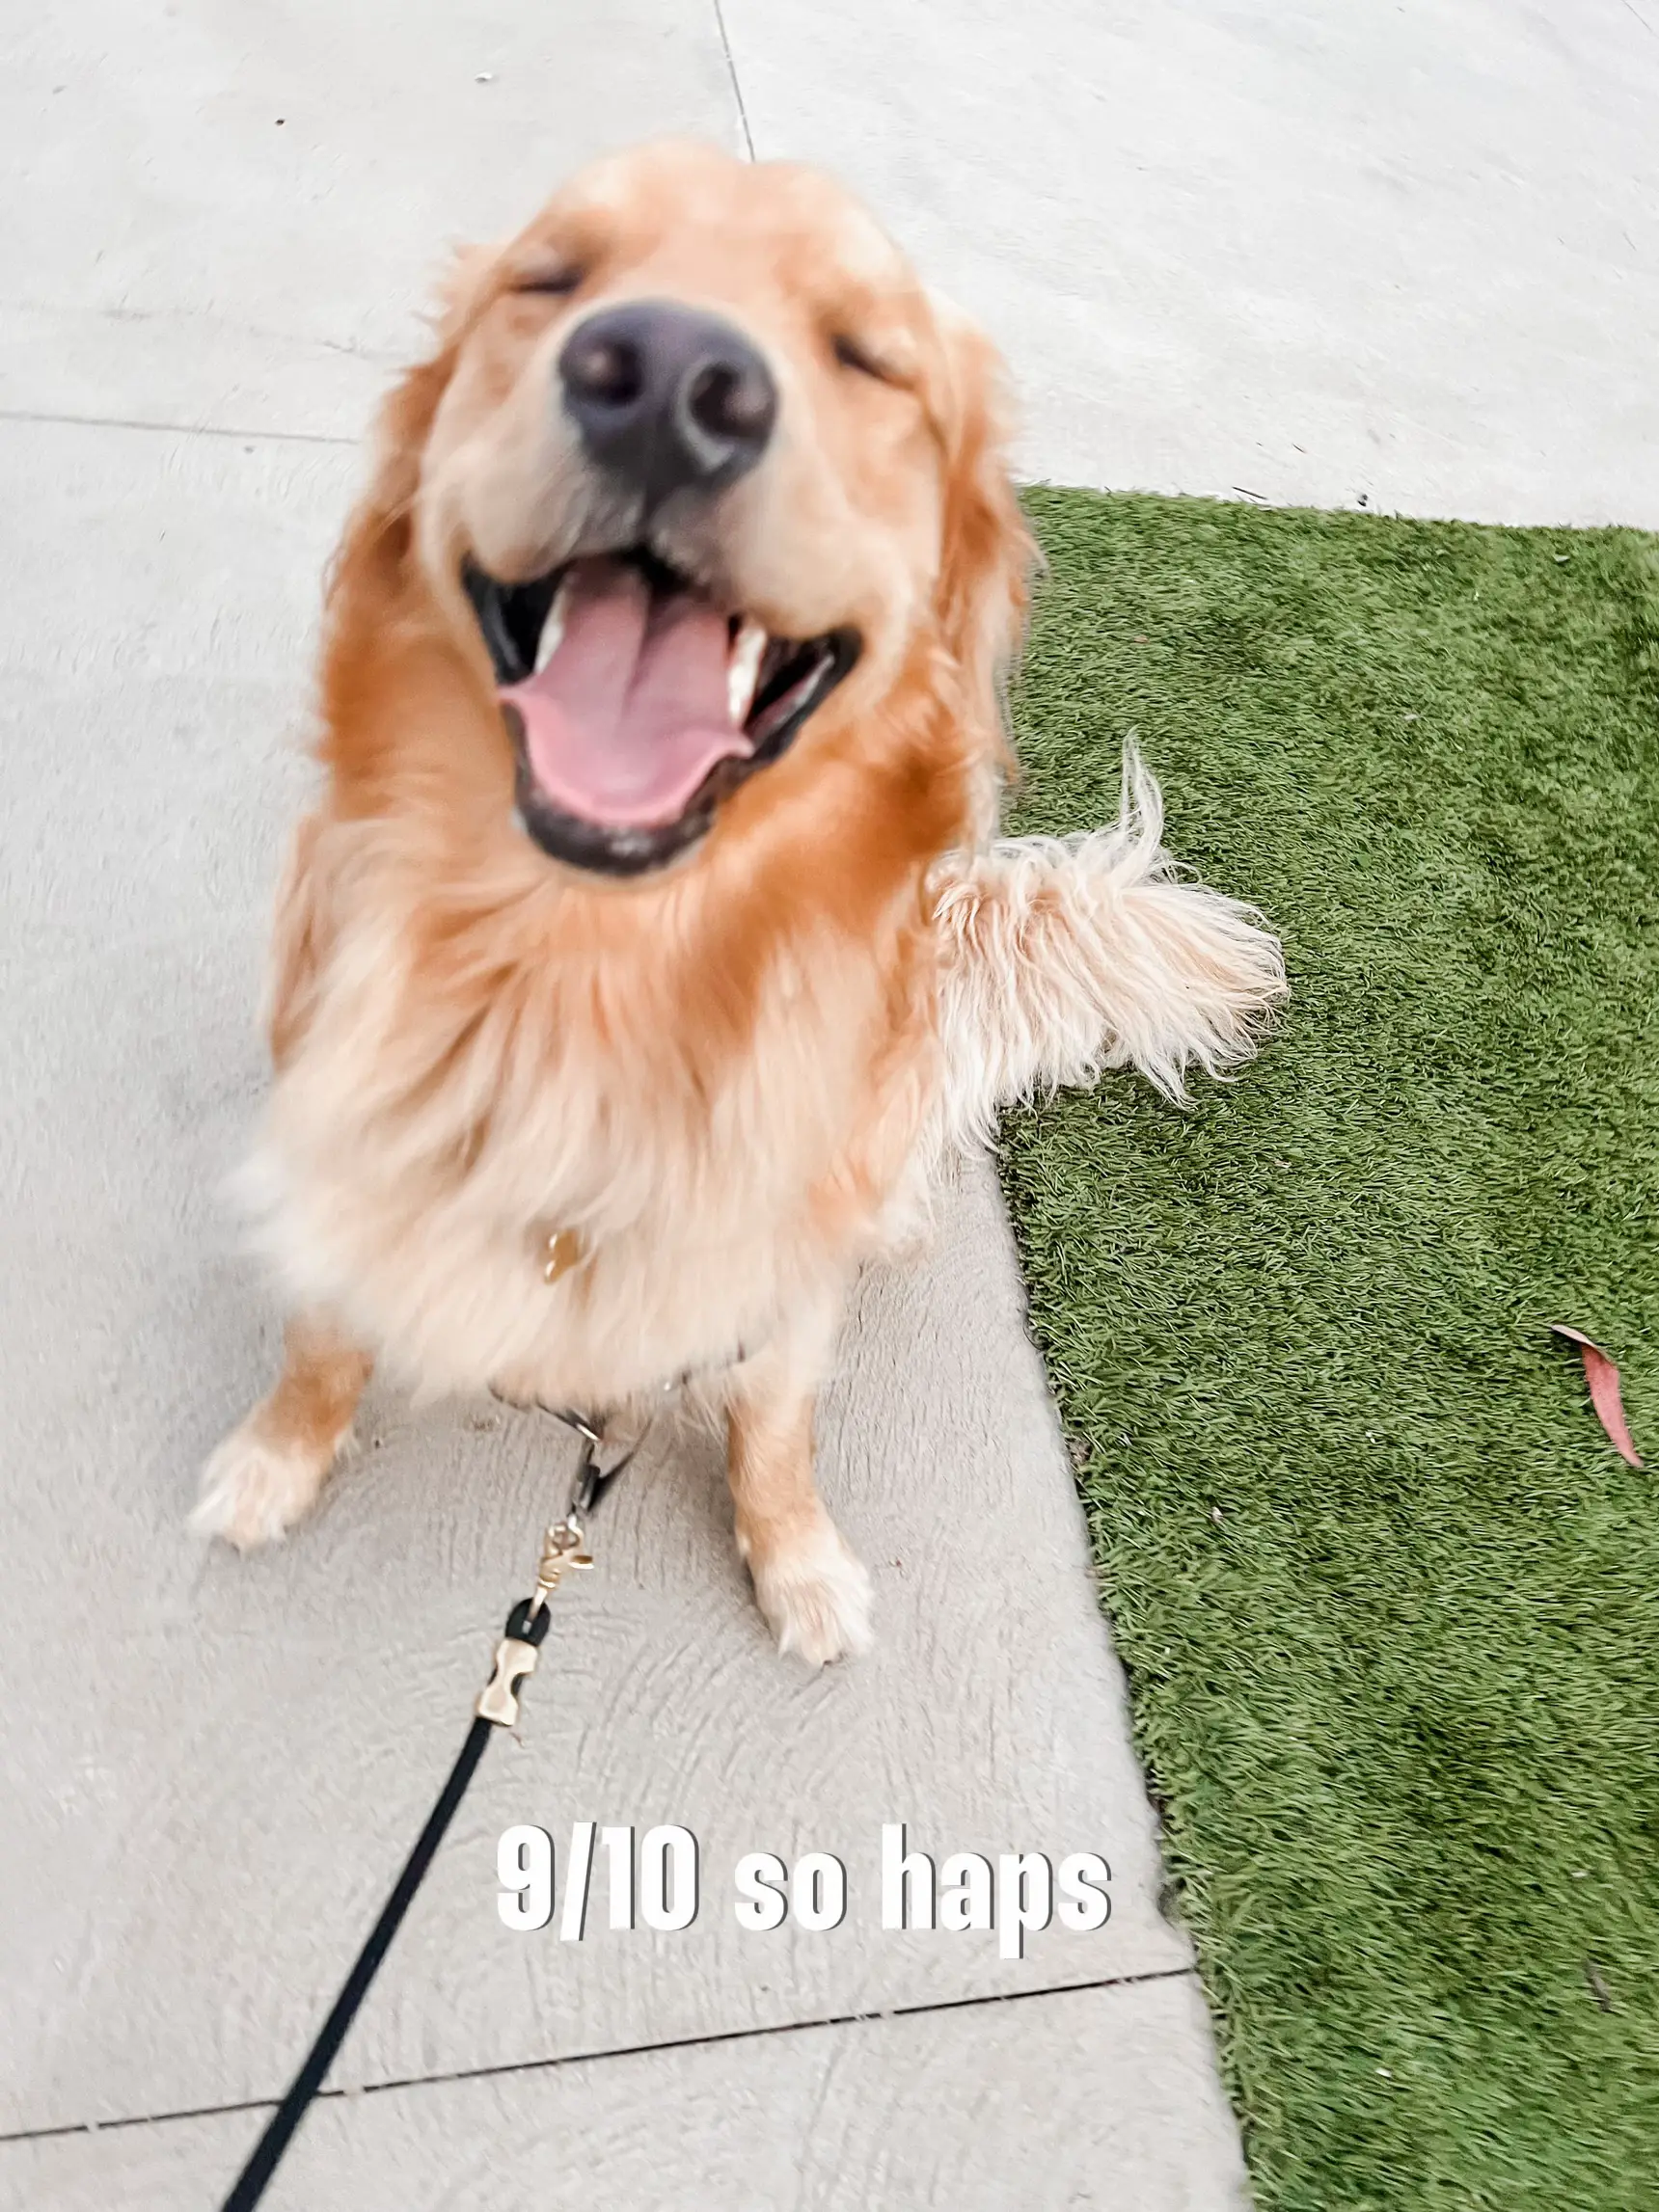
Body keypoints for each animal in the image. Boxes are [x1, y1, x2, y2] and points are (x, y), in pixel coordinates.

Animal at [191, 138, 1283, 1663]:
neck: (593, 963)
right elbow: (320, 1337)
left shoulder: (778, 1258)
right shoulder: (339, 1133)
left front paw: (799, 1558)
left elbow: (775, 1422)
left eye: (867, 356)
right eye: (550, 279)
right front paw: (273, 1457)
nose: (663, 381)